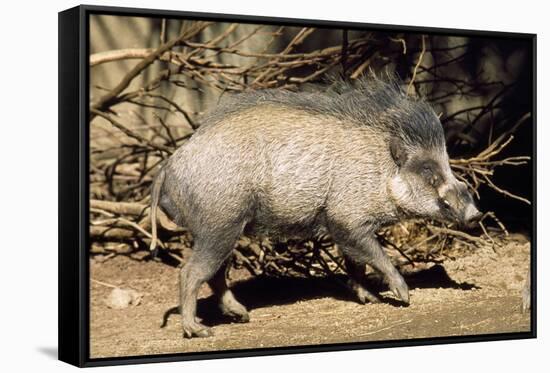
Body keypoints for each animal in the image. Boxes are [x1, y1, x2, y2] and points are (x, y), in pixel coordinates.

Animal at [150, 77, 484, 336]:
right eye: (429, 173)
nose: (476, 214)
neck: (381, 170)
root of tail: (169, 164)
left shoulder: (348, 226)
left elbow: (356, 263)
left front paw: (371, 299)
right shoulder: (345, 218)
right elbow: (374, 255)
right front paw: (404, 297)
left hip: (223, 229)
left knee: (215, 274)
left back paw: (242, 316)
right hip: (219, 224)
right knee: (190, 272)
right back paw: (199, 331)